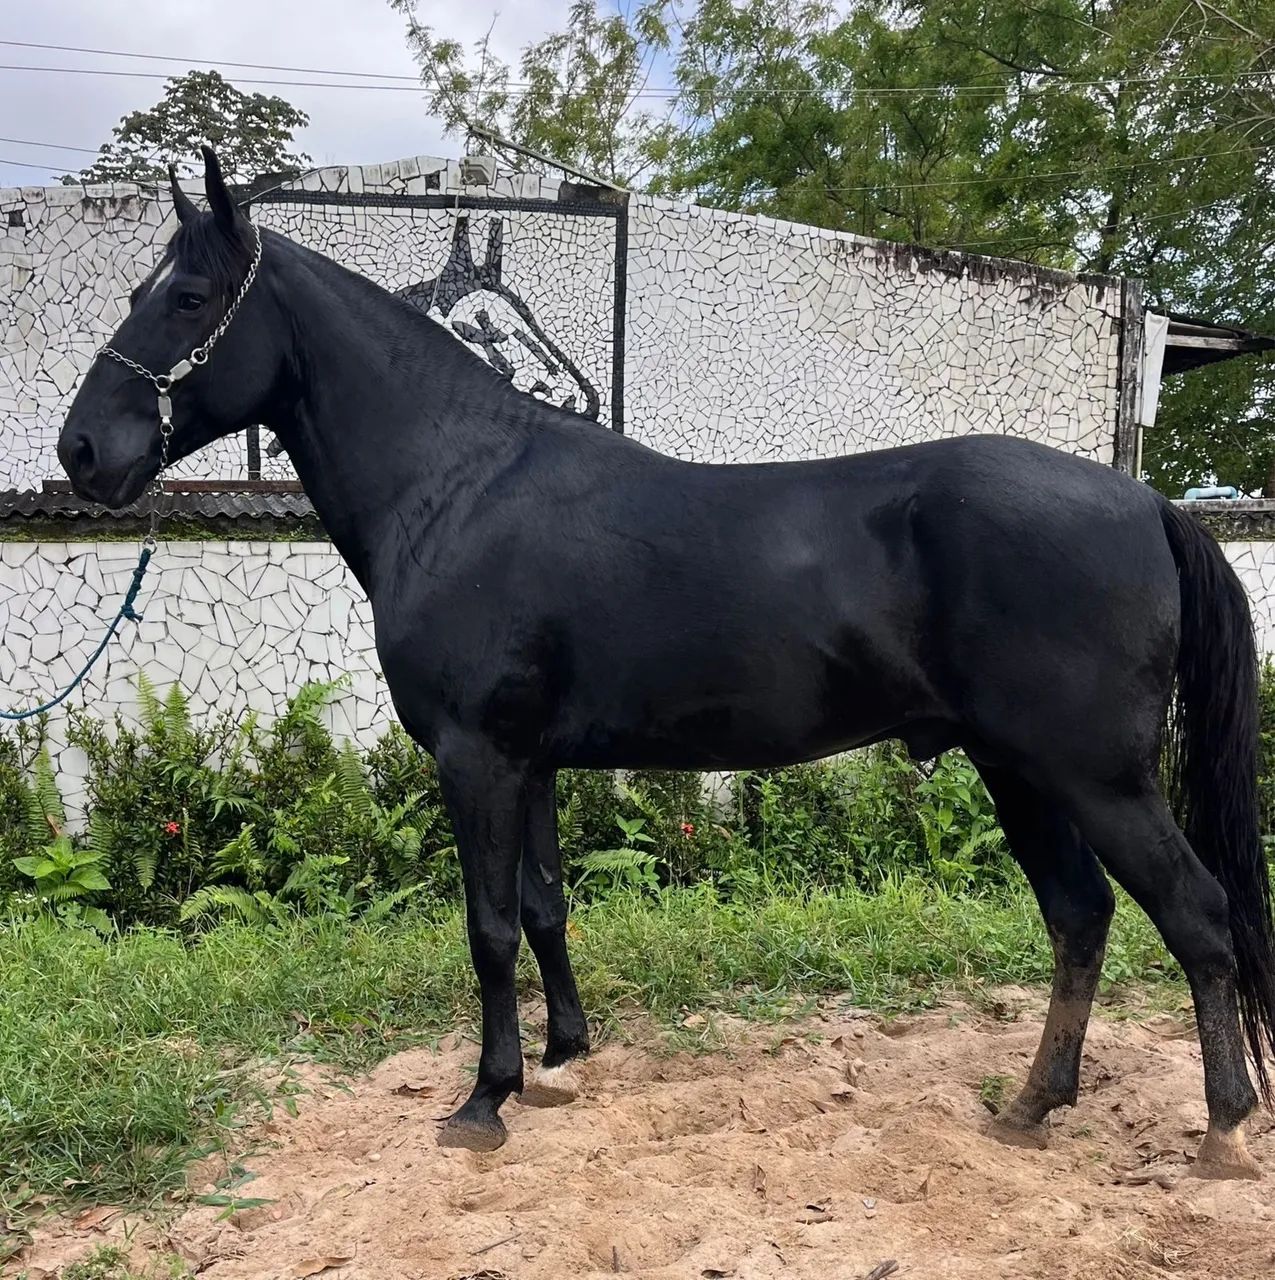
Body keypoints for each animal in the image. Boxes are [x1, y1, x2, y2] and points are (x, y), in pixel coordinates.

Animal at [59, 148, 1275, 1178]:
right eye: (143, 291)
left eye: (190, 298)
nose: (83, 450)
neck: (459, 486)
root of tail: (1147, 502)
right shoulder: (529, 762)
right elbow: (544, 907)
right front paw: (561, 1061)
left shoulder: (476, 757)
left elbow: (488, 925)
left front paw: (483, 1100)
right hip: (1019, 769)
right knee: (1081, 916)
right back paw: (1031, 1105)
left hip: (1092, 775)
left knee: (1195, 914)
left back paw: (1221, 1130)